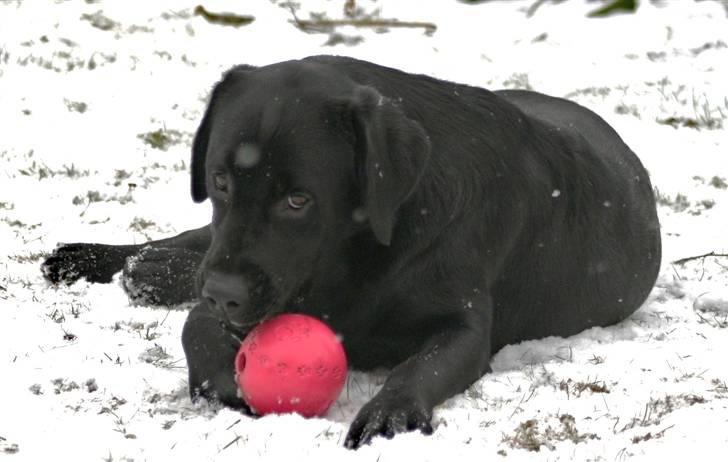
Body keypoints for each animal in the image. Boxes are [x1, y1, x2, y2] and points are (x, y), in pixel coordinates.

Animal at [44, 54, 660, 448]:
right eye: (220, 180)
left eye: (298, 199)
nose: (225, 296)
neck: (355, 260)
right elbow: (194, 328)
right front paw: (223, 381)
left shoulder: (463, 325)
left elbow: (423, 366)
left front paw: (389, 413)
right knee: (188, 244)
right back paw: (104, 260)